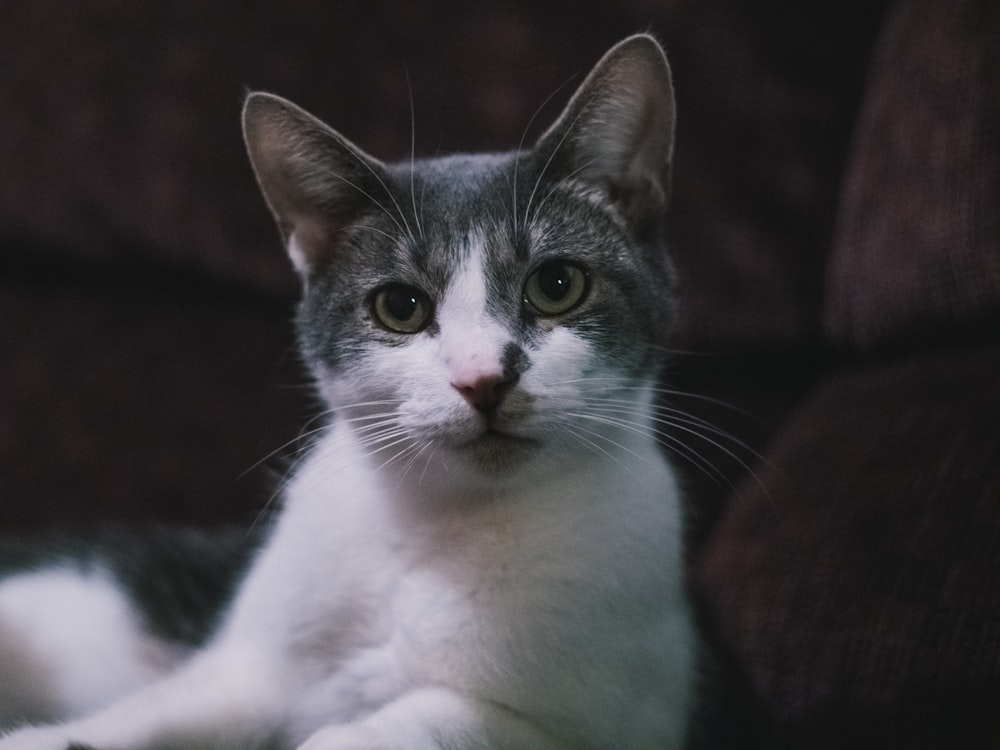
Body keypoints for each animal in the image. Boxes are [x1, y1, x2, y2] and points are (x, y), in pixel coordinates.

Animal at [0, 35, 696, 750]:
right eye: (400, 306)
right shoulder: (244, 670)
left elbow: (438, 716)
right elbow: (157, 712)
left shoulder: (615, 718)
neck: (437, 525)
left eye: (557, 285)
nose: (482, 378)